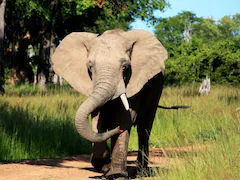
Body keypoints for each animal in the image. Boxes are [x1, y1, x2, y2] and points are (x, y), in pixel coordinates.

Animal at [51, 28, 168, 179]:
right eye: (90, 67)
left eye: (125, 67)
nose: (118, 129)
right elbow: (96, 120)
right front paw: (104, 166)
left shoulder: (135, 81)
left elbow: (125, 118)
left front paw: (117, 175)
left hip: (157, 89)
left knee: (144, 127)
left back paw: (141, 171)